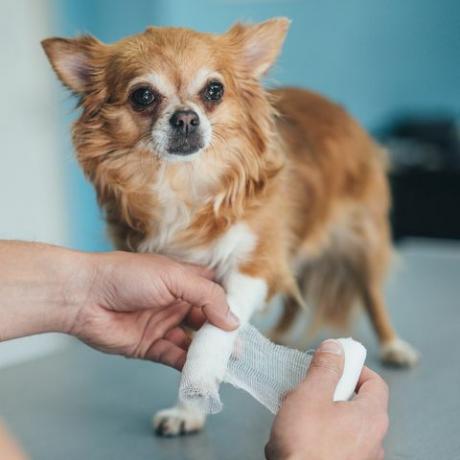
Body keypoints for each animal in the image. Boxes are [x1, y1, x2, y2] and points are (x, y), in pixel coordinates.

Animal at [41, 17, 418, 434]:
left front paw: (209, 371)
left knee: (371, 294)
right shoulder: (182, 277)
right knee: (294, 295)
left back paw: (393, 346)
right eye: (143, 96)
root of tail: (332, 106)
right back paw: (279, 336)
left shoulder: (254, 262)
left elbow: (216, 326)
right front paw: (190, 407)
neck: (184, 183)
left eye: (214, 90)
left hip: (362, 240)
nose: (185, 117)